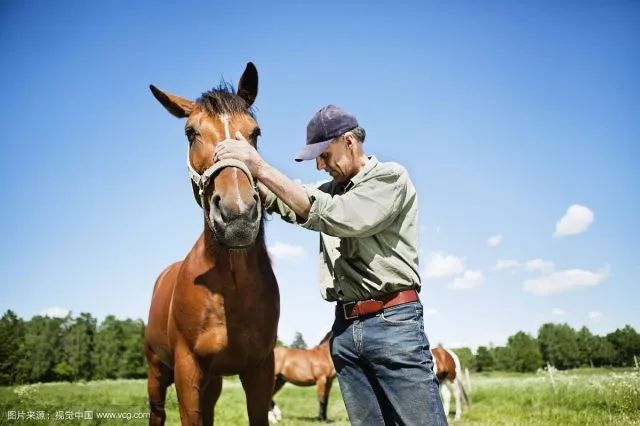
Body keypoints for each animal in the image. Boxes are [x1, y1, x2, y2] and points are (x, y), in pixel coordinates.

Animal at [146, 63, 280, 426]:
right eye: (191, 132)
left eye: (256, 132)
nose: (238, 214)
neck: (229, 290)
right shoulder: (187, 369)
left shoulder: (260, 369)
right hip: (156, 370)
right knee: (156, 412)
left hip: (214, 381)